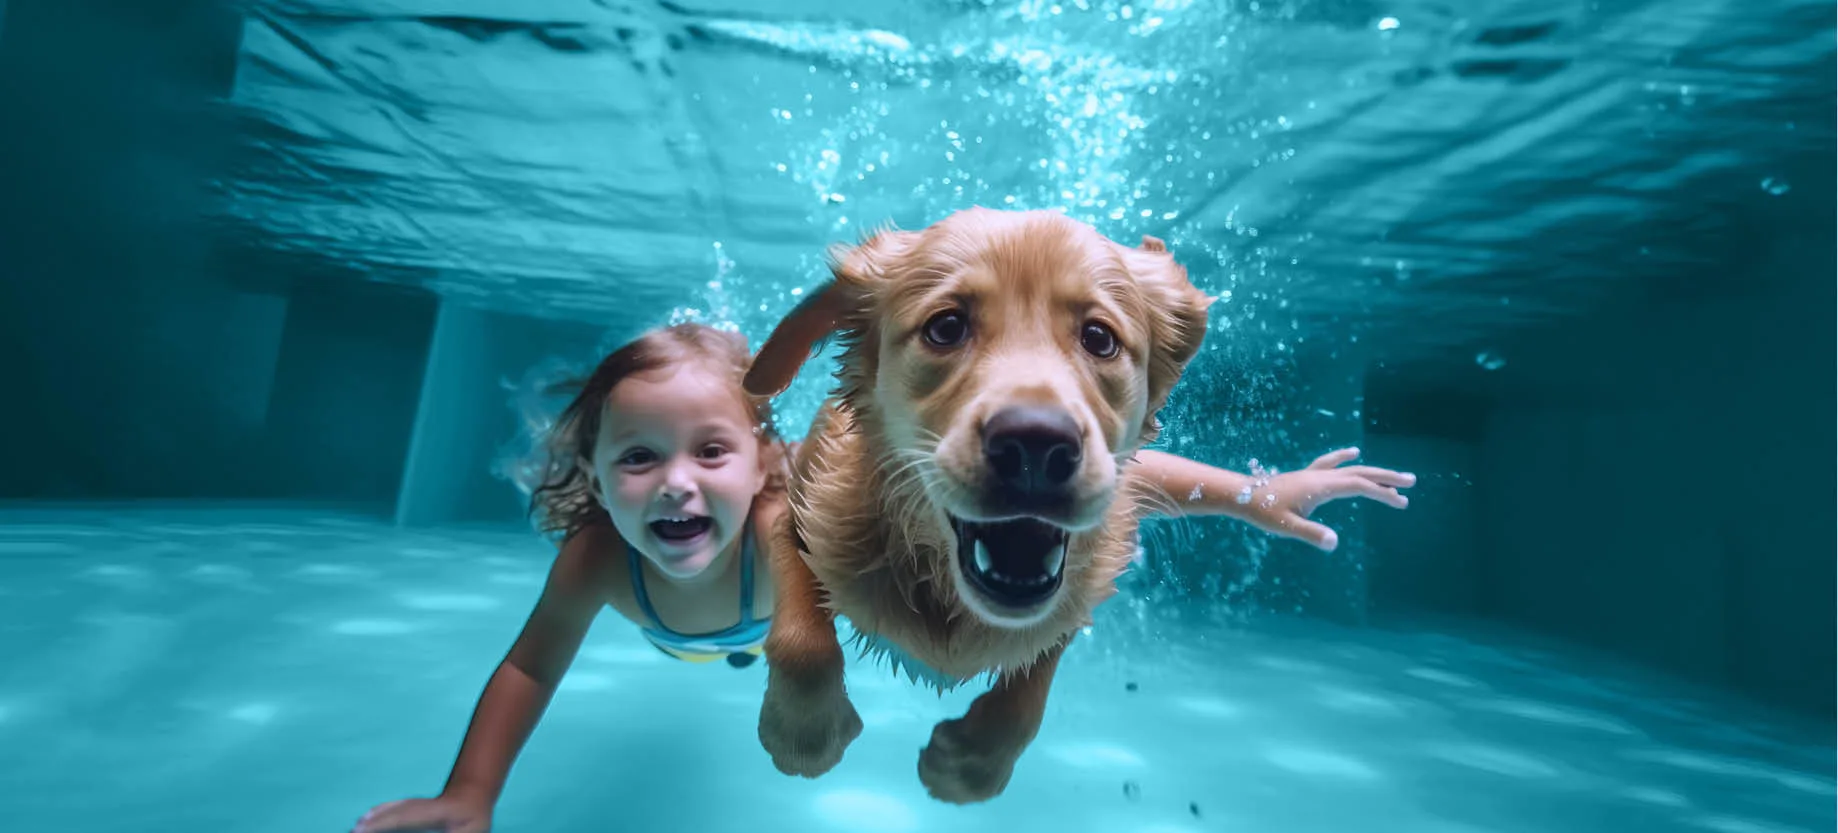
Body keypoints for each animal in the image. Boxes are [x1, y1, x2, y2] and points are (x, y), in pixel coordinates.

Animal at [738, 204, 1213, 801]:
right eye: (946, 327)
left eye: (1099, 338)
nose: (1036, 447)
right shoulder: (794, 521)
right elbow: (801, 643)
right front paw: (806, 733)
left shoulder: (1075, 599)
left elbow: (1030, 686)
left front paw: (971, 763)